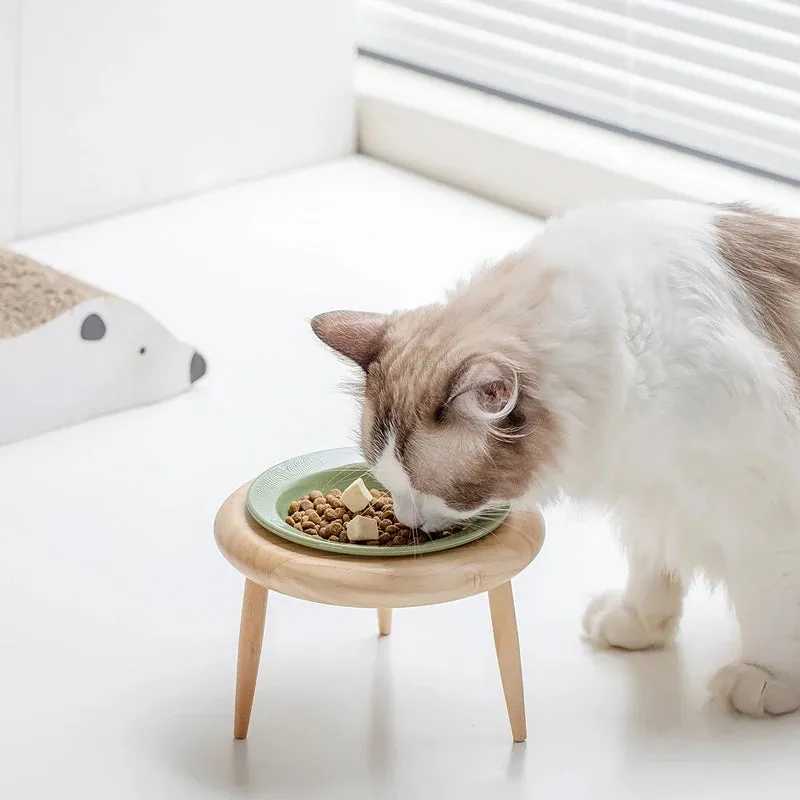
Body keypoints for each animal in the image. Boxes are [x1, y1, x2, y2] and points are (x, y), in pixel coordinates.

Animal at [314, 200, 800, 720]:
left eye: (429, 489)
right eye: (387, 481)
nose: (406, 519)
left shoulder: (756, 512)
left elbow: (769, 605)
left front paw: (768, 678)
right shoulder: (656, 497)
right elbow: (653, 569)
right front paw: (635, 624)